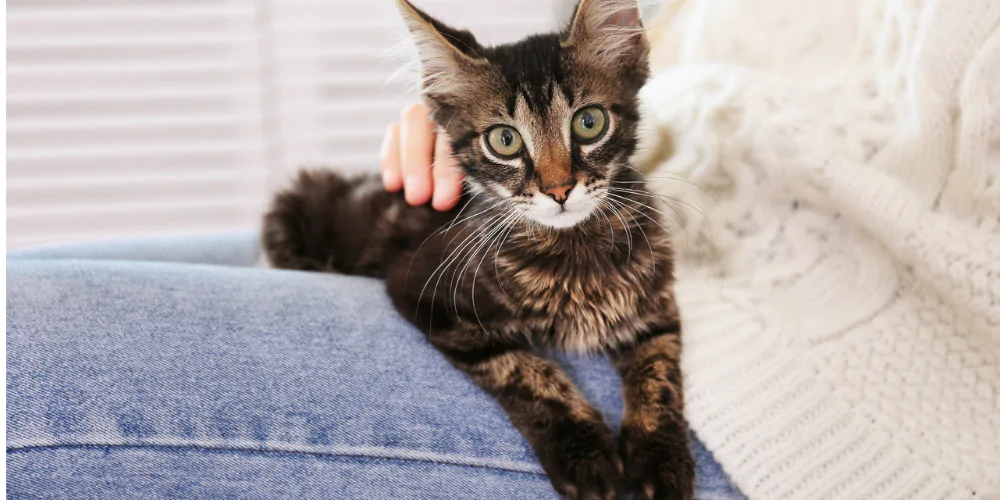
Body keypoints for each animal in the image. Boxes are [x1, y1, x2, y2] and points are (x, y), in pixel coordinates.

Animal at [262, 1, 692, 498]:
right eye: (505, 140)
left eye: (589, 123)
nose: (559, 190)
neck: (573, 247)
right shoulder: (423, 292)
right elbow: (523, 370)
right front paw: (583, 450)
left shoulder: (656, 309)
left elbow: (659, 375)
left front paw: (661, 457)